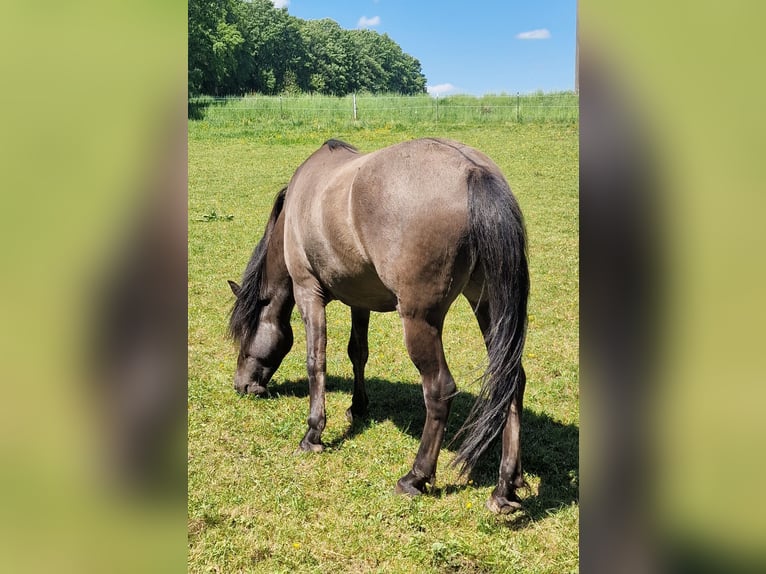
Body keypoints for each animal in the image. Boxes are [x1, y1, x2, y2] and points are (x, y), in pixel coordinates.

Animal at [228, 138, 529, 514]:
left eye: (244, 335)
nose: (242, 385)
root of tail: (475, 172)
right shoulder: (360, 299)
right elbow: (358, 352)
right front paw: (357, 407)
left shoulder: (308, 292)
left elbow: (316, 362)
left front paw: (313, 434)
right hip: (489, 306)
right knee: (511, 380)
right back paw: (506, 487)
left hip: (420, 321)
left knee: (439, 389)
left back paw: (415, 477)